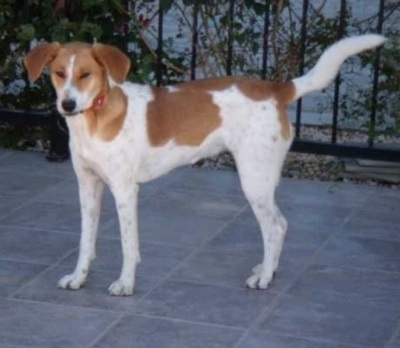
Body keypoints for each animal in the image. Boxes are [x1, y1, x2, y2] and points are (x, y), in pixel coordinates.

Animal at [24, 34, 384, 296]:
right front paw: (78, 278)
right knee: (276, 228)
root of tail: (276, 88)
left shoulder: (125, 191)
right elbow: (86, 241)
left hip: (254, 180)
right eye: (59, 74)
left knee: (276, 226)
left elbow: (128, 244)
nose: (67, 104)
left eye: (86, 75)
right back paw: (267, 268)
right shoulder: (88, 186)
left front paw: (125, 284)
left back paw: (265, 278)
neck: (94, 119)